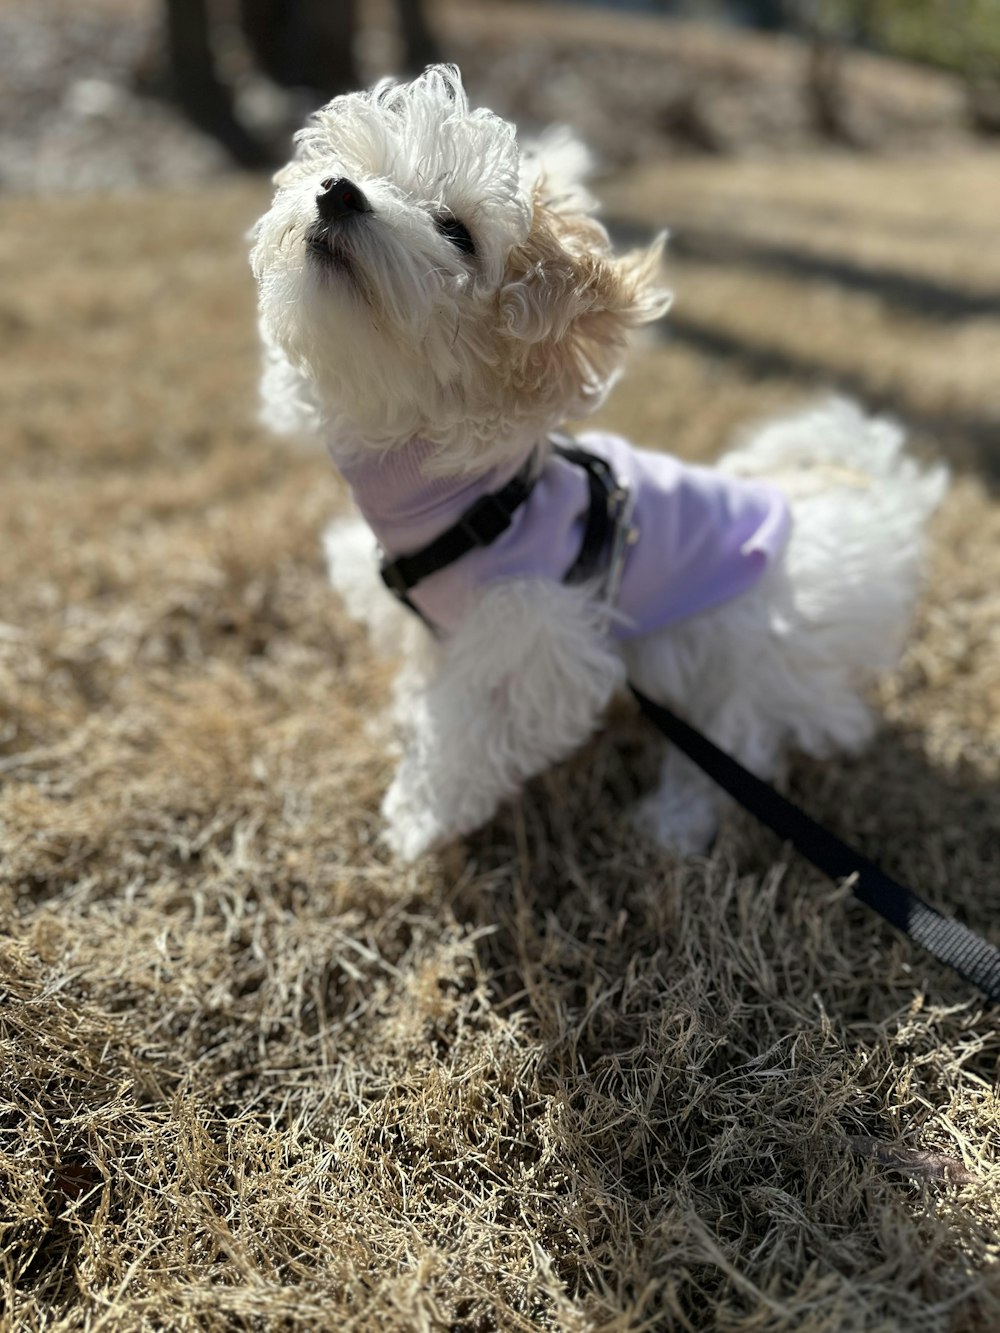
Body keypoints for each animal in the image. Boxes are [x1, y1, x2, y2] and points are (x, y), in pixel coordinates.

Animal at [249, 67, 949, 863]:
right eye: (355, 169)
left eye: (457, 232)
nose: (338, 191)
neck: (470, 500)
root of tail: (851, 511)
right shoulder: (444, 630)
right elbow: (430, 689)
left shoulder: (531, 631)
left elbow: (469, 730)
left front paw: (421, 814)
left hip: (746, 649)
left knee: (741, 740)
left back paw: (676, 821)